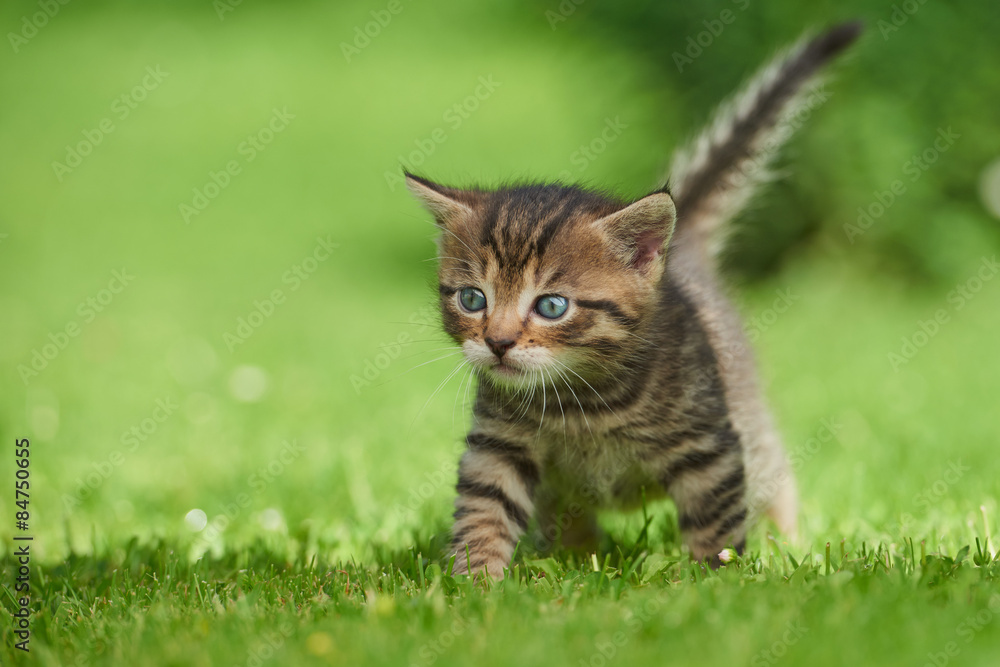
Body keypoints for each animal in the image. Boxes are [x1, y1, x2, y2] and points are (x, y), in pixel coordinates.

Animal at [404, 23, 860, 576]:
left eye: (551, 306)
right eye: (473, 300)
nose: (498, 342)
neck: (579, 401)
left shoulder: (708, 446)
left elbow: (716, 526)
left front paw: (714, 580)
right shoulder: (498, 445)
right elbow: (484, 511)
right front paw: (475, 582)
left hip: (748, 424)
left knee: (774, 472)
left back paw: (787, 543)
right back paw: (572, 559)